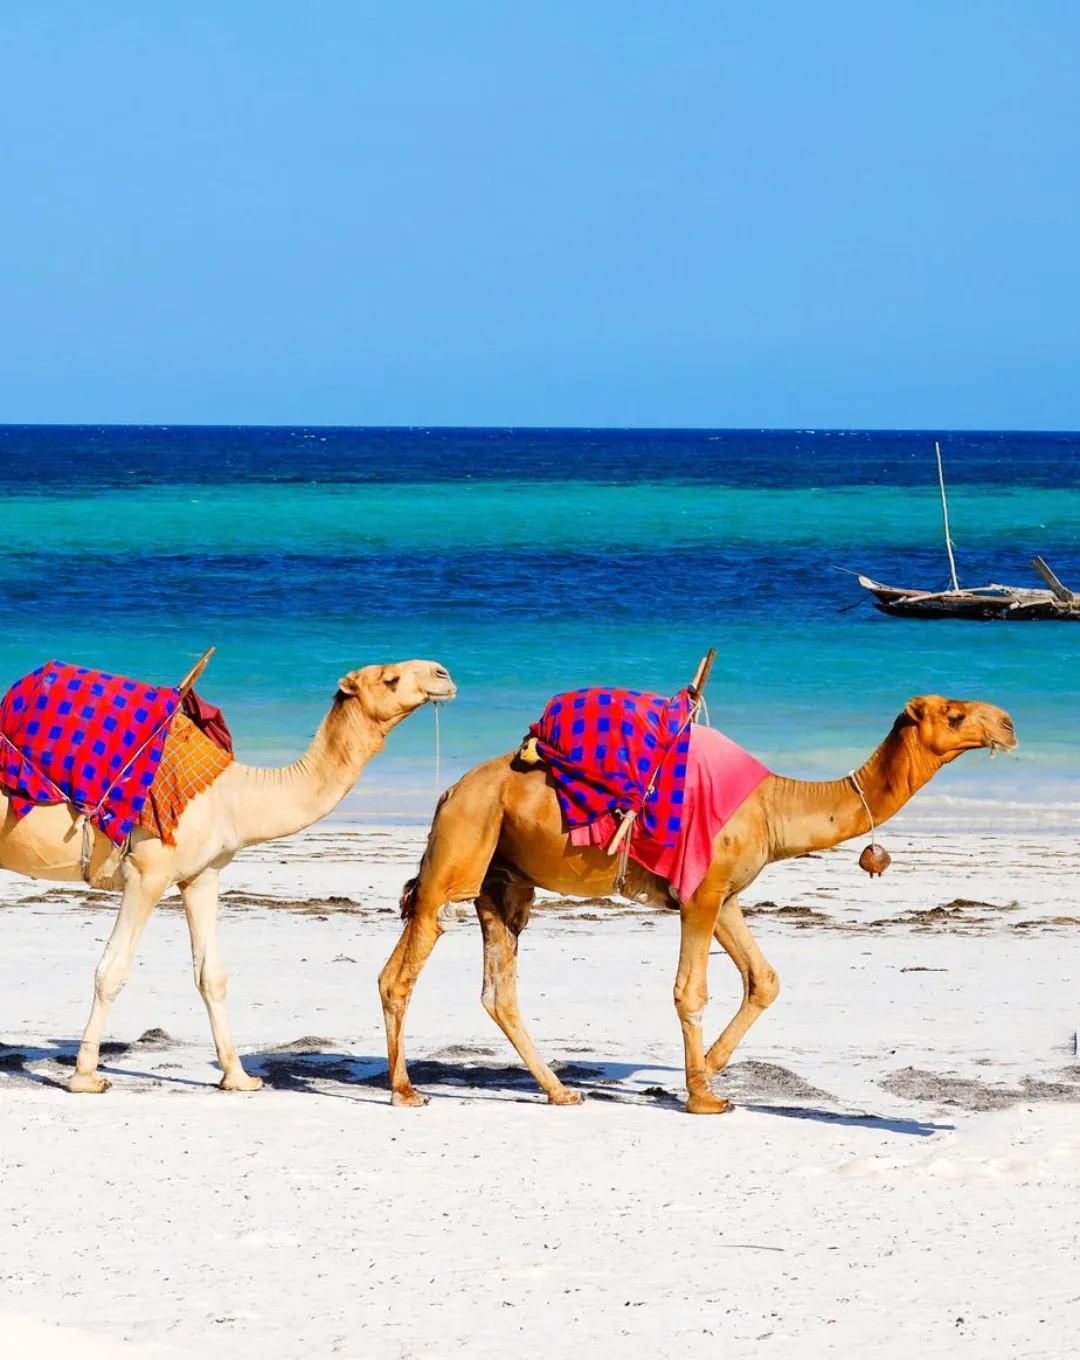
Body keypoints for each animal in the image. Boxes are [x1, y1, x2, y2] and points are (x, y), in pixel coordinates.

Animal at [0, 659, 456, 1093]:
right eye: (390, 678)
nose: (443, 674)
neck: (231, 797)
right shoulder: (147, 874)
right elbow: (112, 971)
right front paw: (85, 1077)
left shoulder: (201, 874)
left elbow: (210, 976)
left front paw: (238, 1077)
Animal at [379, 694, 1016, 1114]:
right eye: (955, 715)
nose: (1009, 725)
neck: (775, 806)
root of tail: (448, 791)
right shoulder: (700, 895)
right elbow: (691, 990)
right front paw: (704, 1096)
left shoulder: (725, 894)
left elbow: (764, 979)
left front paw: (702, 1071)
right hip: (459, 851)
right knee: (402, 970)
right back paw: (406, 1091)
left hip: (502, 879)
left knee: (498, 989)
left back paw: (560, 1091)